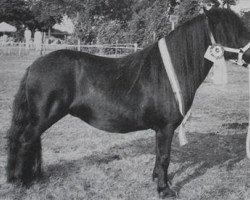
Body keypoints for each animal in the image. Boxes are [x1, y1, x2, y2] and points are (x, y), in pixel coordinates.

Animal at [6, 8, 250, 198]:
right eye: (232, 30)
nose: (249, 57)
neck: (169, 73)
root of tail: (34, 65)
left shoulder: (160, 130)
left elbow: (159, 155)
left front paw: (157, 180)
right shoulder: (166, 128)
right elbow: (165, 156)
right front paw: (165, 190)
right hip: (43, 117)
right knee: (26, 140)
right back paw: (22, 181)